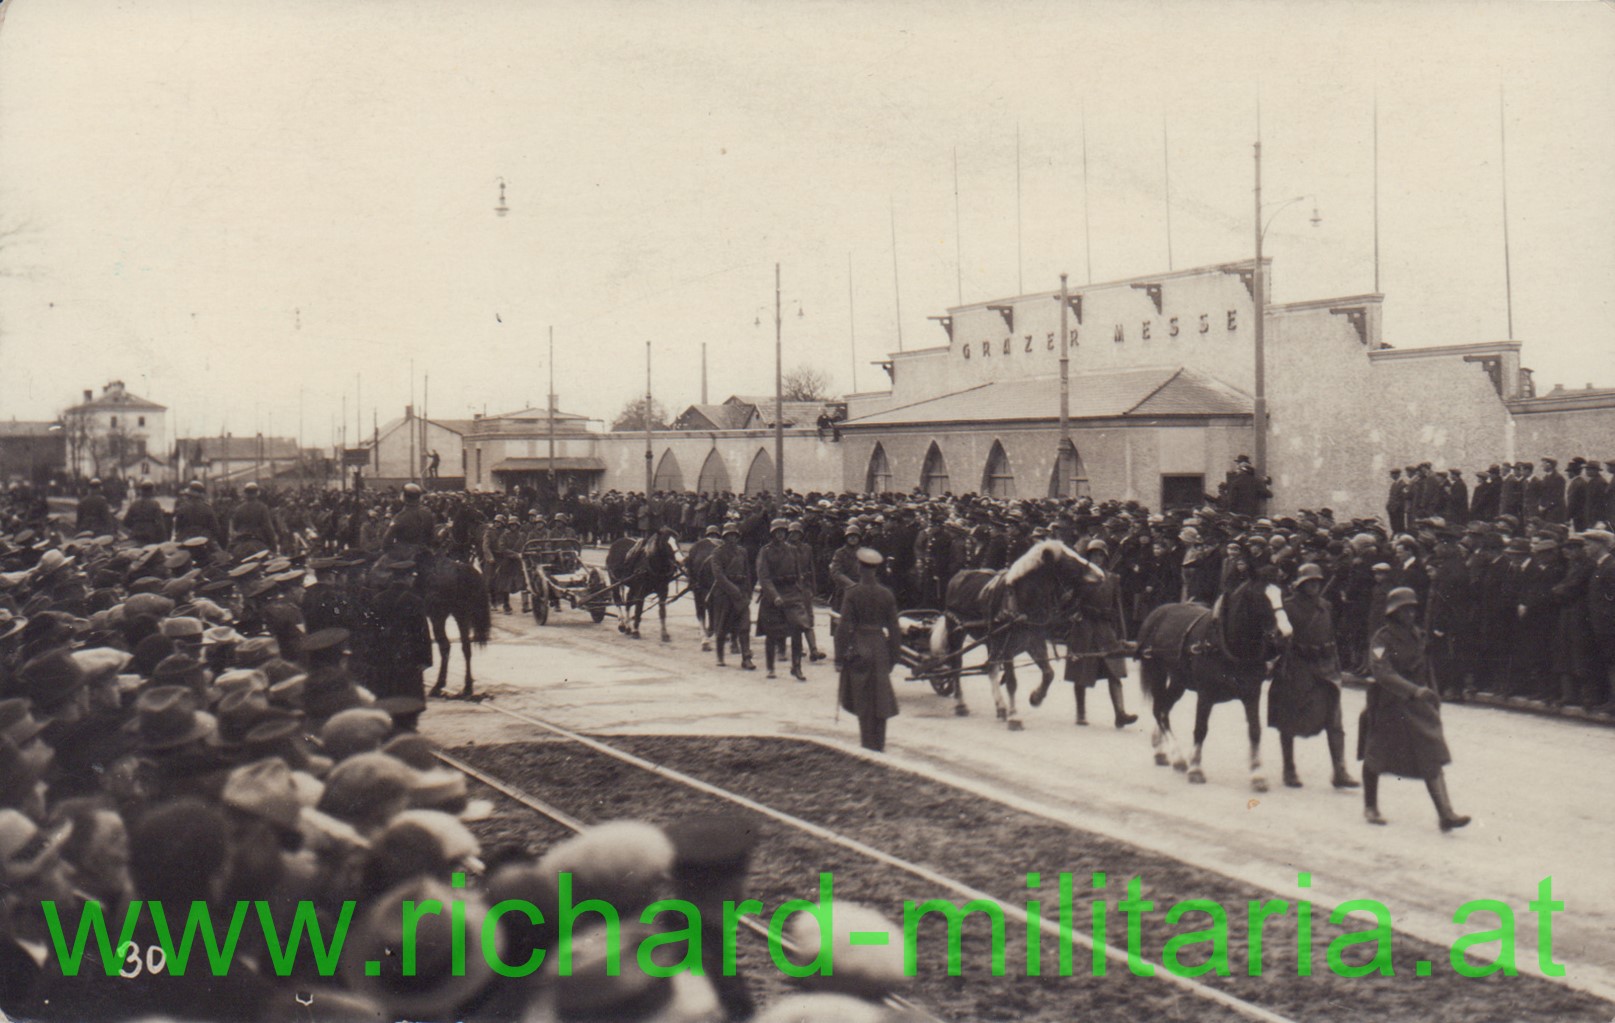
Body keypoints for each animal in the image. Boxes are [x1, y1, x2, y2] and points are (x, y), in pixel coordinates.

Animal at [930, 539, 1104, 730]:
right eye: (1068, 562)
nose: (1101, 574)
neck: (1022, 602)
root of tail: (958, 576)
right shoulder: (1007, 649)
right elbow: (1012, 682)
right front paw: (1015, 718)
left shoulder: (1034, 643)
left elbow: (1048, 673)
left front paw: (1036, 698)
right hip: (957, 635)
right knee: (956, 666)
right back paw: (961, 704)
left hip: (991, 641)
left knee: (990, 668)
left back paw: (1000, 707)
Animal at [1130, 575, 1292, 788]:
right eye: (1260, 597)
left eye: (1282, 594)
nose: (1285, 633)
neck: (1225, 645)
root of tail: (1156, 613)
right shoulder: (1206, 695)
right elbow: (1200, 729)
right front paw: (1196, 769)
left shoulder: (1252, 694)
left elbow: (1255, 730)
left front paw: (1257, 774)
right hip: (1158, 673)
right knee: (1159, 711)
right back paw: (1178, 756)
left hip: (1179, 681)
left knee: (1164, 709)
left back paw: (1162, 751)